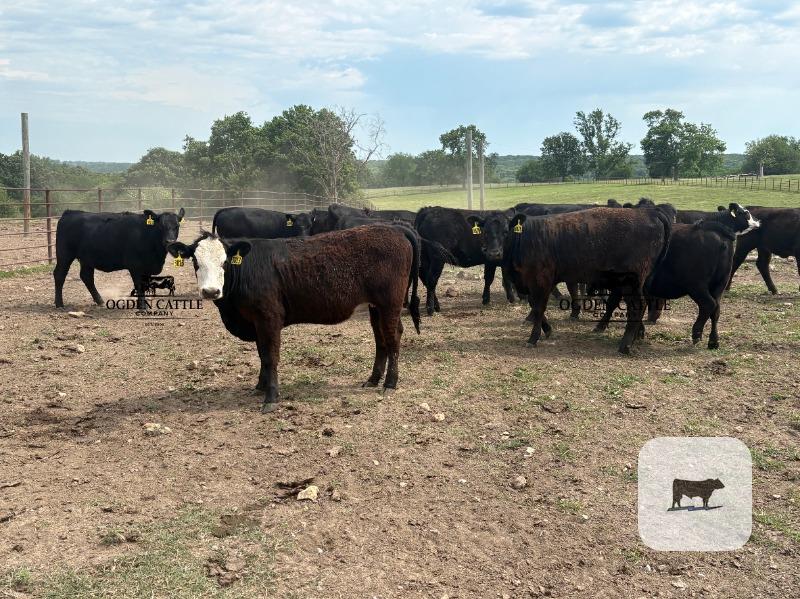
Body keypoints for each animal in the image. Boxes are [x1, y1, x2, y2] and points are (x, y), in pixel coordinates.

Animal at [54, 208, 184, 309]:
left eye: (177, 226)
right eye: (161, 226)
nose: (170, 241)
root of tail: (70, 213)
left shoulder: (147, 267)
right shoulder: (135, 266)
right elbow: (139, 285)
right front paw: (142, 306)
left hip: (86, 259)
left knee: (87, 277)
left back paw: (99, 301)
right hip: (64, 255)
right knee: (59, 275)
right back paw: (59, 303)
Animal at [167, 225, 421, 412]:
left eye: (225, 262)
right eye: (195, 261)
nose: (210, 291)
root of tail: (395, 229)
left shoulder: (269, 318)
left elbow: (270, 356)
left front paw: (271, 397)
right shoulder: (257, 322)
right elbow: (261, 354)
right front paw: (260, 386)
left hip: (390, 304)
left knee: (393, 337)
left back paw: (390, 383)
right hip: (376, 307)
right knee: (381, 339)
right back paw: (373, 379)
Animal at [505, 207, 671, 354]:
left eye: (506, 231)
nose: (498, 252)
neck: (528, 238)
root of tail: (650, 213)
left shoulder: (540, 281)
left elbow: (539, 307)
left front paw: (533, 338)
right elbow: (534, 305)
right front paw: (547, 330)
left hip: (631, 283)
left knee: (637, 305)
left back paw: (625, 345)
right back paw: (635, 336)